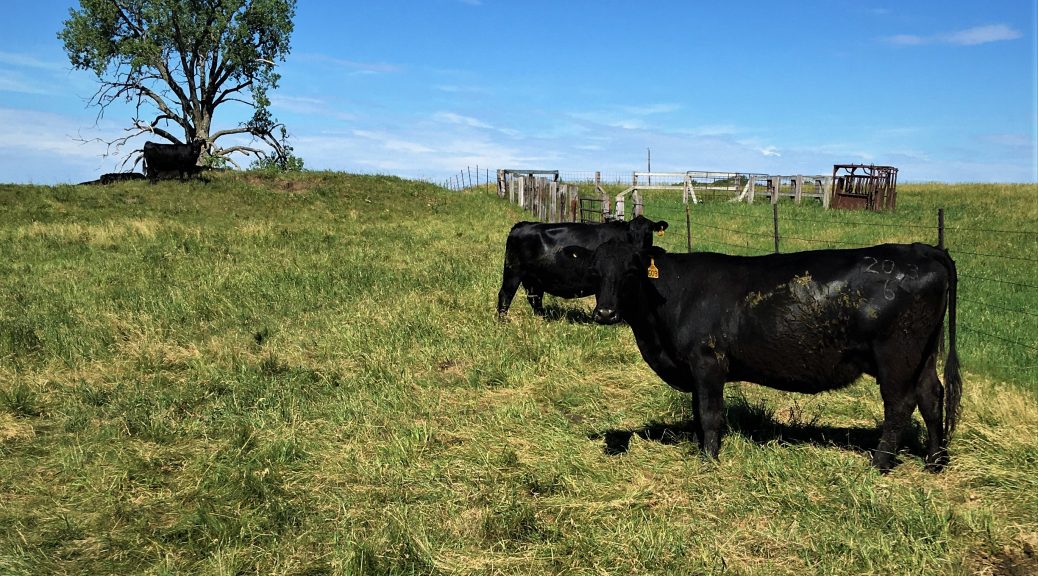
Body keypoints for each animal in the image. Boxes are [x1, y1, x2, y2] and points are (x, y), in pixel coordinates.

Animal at [497, 215, 669, 320]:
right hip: (513, 272)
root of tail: (523, 225)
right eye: (630, 233)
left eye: (649, 232)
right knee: (505, 296)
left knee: (535, 299)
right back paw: (502, 323)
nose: (637, 250)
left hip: (533, 279)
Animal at [565, 240, 960, 472]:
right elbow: (697, 413)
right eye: (595, 271)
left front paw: (709, 461)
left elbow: (710, 415)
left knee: (900, 405)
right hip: (923, 354)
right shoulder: (694, 370)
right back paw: (934, 462)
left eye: (631, 270)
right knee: (931, 395)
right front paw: (700, 449)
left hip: (896, 355)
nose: (604, 313)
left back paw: (879, 464)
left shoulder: (708, 362)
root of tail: (921, 249)